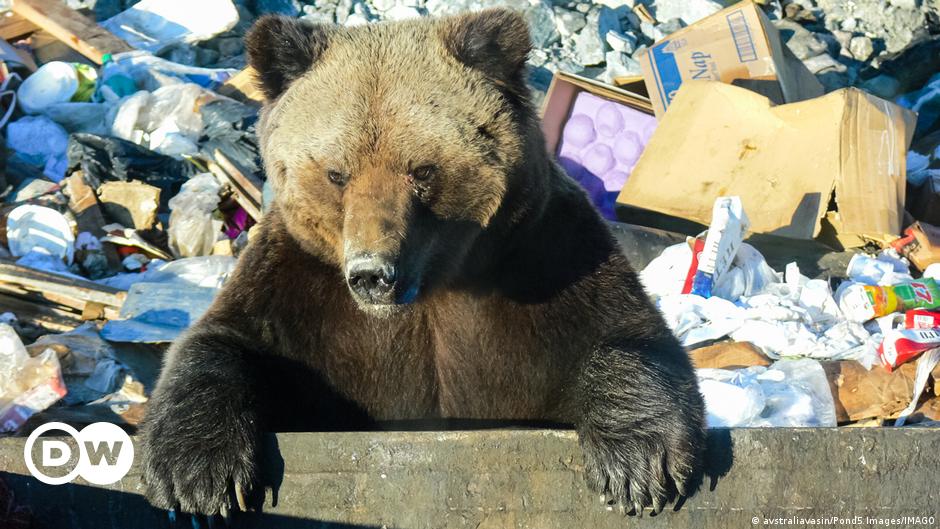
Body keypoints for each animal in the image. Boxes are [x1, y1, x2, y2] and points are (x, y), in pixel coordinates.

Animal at [141, 8, 704, 520]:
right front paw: (197, 474)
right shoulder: (302, 290)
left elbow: (626, 335)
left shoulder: (543, 257)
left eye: (423, 169)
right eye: (336, 172)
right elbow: (225, 343)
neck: (432, 292)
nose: (373, 274)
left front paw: (636, 463)